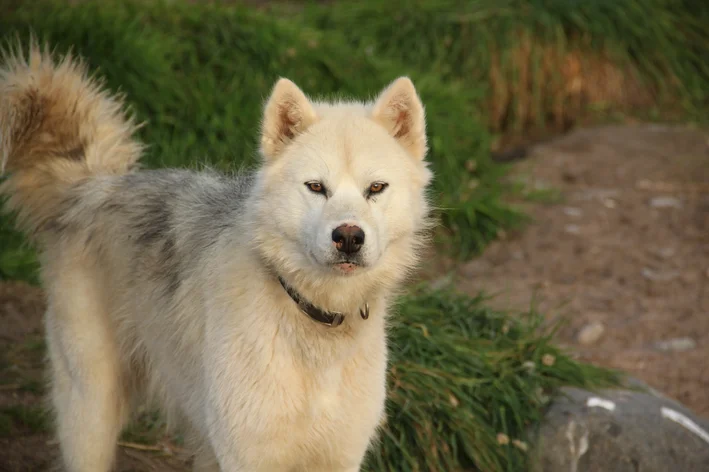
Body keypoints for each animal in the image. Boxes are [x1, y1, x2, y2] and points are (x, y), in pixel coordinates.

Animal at [0, 42, 434, 470]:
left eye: (375, 188)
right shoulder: (248, 458)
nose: (348, 237)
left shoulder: (339, 458)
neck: (311, 319)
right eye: (316, 187)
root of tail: (94, 185)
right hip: (91, 416)